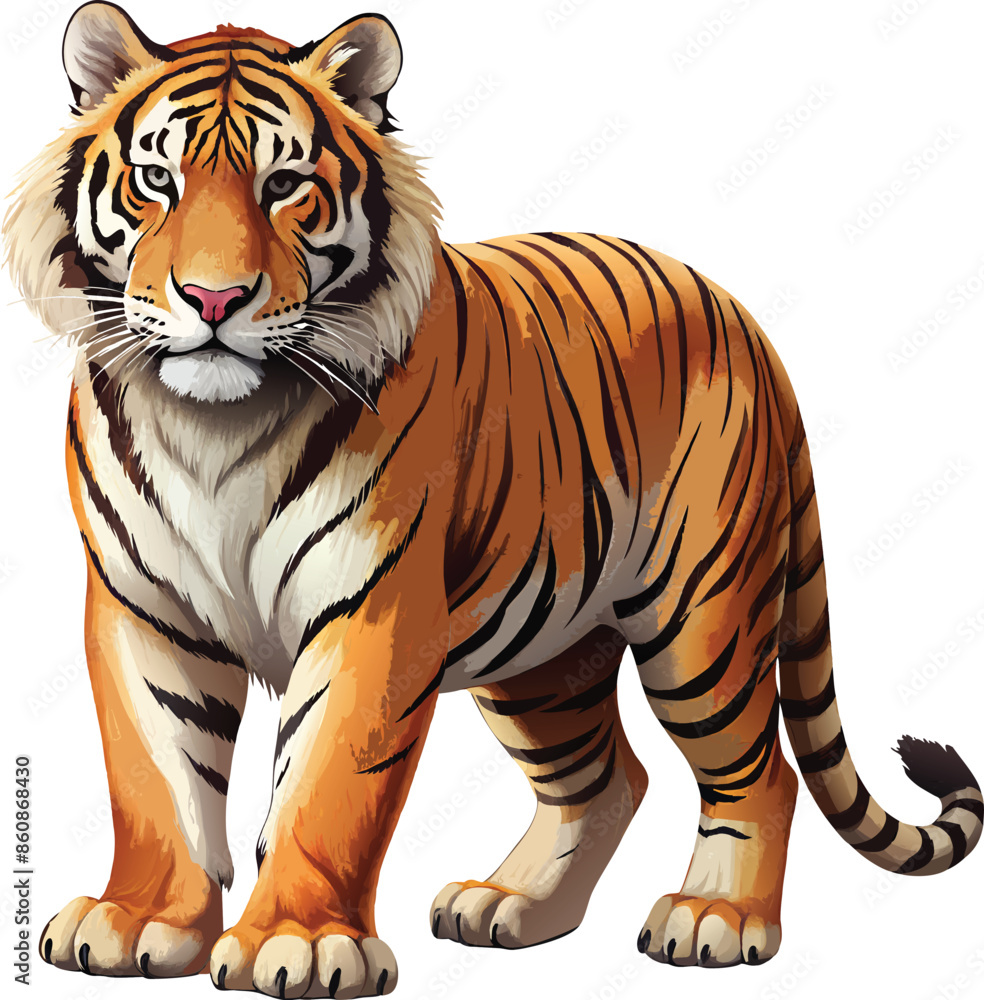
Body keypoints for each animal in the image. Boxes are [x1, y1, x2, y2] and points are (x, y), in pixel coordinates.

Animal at [4, 2, 981, 996]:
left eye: (284, 185)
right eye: (155, 180)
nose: (213, 299)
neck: (213, 428)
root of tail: (745, 319)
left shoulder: (373, 611)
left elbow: (325, 786)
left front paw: (302, 943)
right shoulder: (143, 607)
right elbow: (156, 778)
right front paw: (139, 921)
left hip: (702, 618)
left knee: (761, 774)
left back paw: (715, 916)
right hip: (543, 649)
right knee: (606, 779)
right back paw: (512, 907)